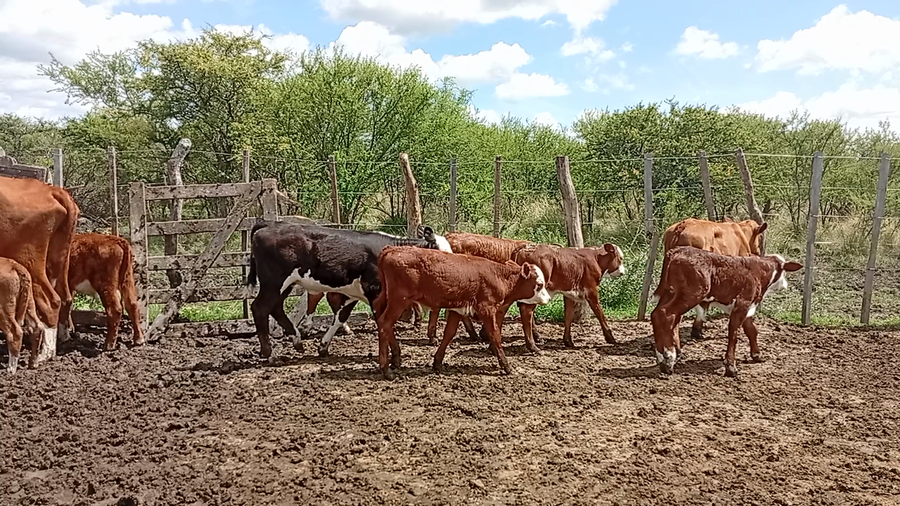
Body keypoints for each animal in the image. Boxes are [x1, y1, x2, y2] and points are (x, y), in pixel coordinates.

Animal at [0, 176, 79, 365]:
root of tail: (50, 190)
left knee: (51, 302)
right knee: (65, 298)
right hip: (59, 259)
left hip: (30, 261)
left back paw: (45, 353)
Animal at [245, 221, 452, 359]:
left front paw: (323, 347)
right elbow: (383, 321)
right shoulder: (375, 292)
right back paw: (269, 353)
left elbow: (340, 317)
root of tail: (266, 226)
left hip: (284, 285)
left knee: (276, 308)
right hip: (274, 282)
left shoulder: (354, 294)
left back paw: (297, 341)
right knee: (260, 308)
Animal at [372, 246, 551, 380]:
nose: (548, 299)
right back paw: (386, 369)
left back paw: (396, 358)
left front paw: (437, 362)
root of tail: (391, 250)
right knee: (385, 323)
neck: (498, 276)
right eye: (539, 284)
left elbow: (449, 334)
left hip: (388, 299)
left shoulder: (457, 309)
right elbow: (495, 335)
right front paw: (507, 366)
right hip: (399, 300)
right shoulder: (487, 309)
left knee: (382, 320)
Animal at [650, 246, 802, 377]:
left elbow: (752, 331)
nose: (785, 285)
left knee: (657, 314)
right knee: (666, 314)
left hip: (670, 292)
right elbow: (733, 334)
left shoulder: (748, 308)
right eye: (784, 271)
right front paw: (731, 367)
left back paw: (662, 358)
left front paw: (756, 355)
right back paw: (669, 357)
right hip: (691, 294)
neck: (758, 272)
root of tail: (677, 250)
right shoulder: (742, 304)